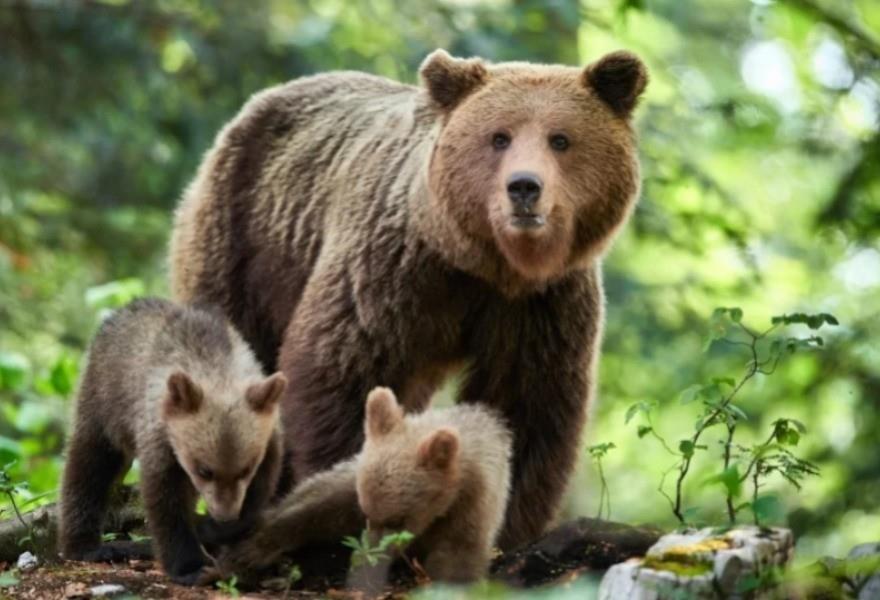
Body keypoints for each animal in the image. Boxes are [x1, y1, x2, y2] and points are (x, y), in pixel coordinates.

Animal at [168, 50, 648, 548]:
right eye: (499, 137)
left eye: (560, 138)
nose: (523, 187)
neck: (485, 264)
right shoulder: (393, 273)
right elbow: (345, 373)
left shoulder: (540, 304)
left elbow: (525, 402)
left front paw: (505, 525)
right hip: (245, 241)